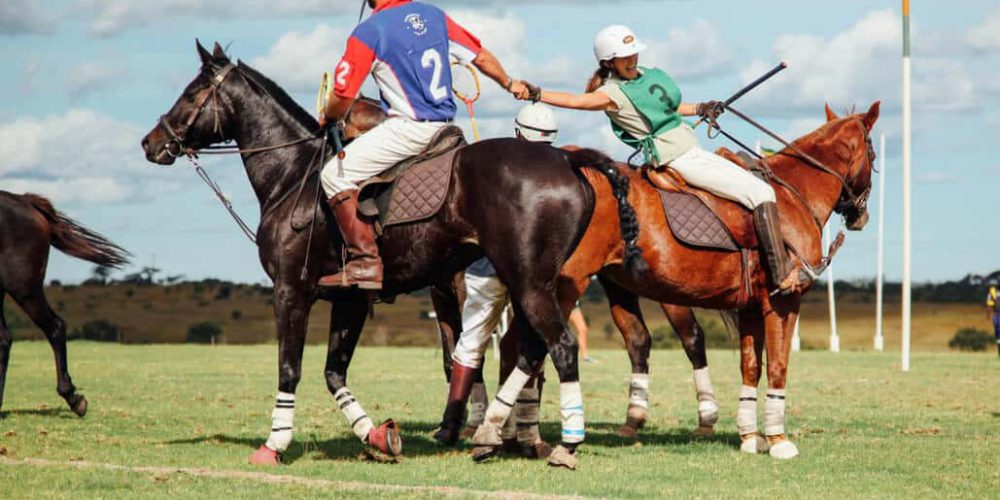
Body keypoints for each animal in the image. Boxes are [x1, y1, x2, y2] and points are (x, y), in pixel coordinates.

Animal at [137, 42, 636, 464]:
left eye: (191, 93)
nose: (150, 142)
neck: (293, 176)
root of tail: (566, 158)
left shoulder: (290, 290)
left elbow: (290, 368)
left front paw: (273, 445)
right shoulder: (351, 298)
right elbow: (333, 373)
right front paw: (378, 436)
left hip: (529, 280)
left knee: (561, 347)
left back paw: (564, 446)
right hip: (537, 282)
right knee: (532, 350)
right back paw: (493, 433)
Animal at [472, 101, 880, 464]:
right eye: (873, 154)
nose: (860, 215)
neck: (794, 194)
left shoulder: (750, 306)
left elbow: (750, 367)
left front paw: (750, 437)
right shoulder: (783, 301)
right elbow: (778, 366)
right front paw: (779, 441)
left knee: (518, 345)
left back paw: (506, 436)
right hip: (563, 285)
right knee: (532, 346)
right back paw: (518, 436)